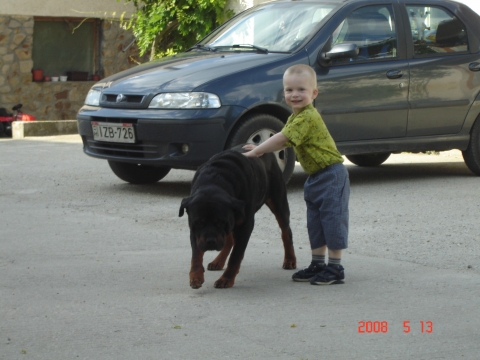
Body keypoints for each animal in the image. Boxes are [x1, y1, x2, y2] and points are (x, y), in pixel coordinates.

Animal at [178, 145, 294, 288]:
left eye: (220, 222)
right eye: (199, 222)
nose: (210, 241)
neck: (215, 181)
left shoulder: (245, 225)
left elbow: (236, 256)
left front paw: (226, 279)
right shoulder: (195, 230)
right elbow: (196, 254)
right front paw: (196, 275)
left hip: (278, 200)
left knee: (286, 231)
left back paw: (290, 259)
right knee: (229, 240)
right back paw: (218, 261)